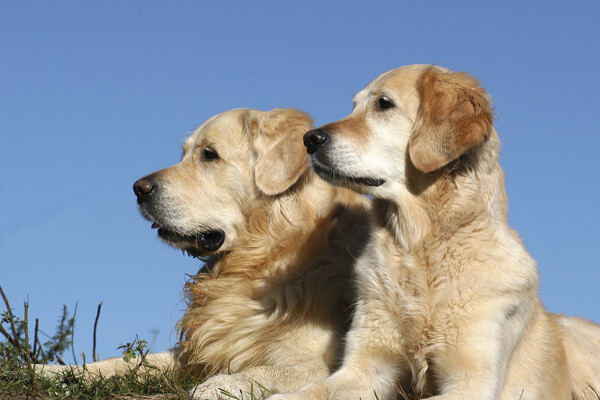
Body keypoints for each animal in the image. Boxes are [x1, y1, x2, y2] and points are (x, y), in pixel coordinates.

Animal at [270, 66, 600, 400]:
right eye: (354, 106)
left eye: (384, 104)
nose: (310, 139)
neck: (419, 248)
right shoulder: (366, 366)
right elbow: (313, 390)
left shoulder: (472, 380)